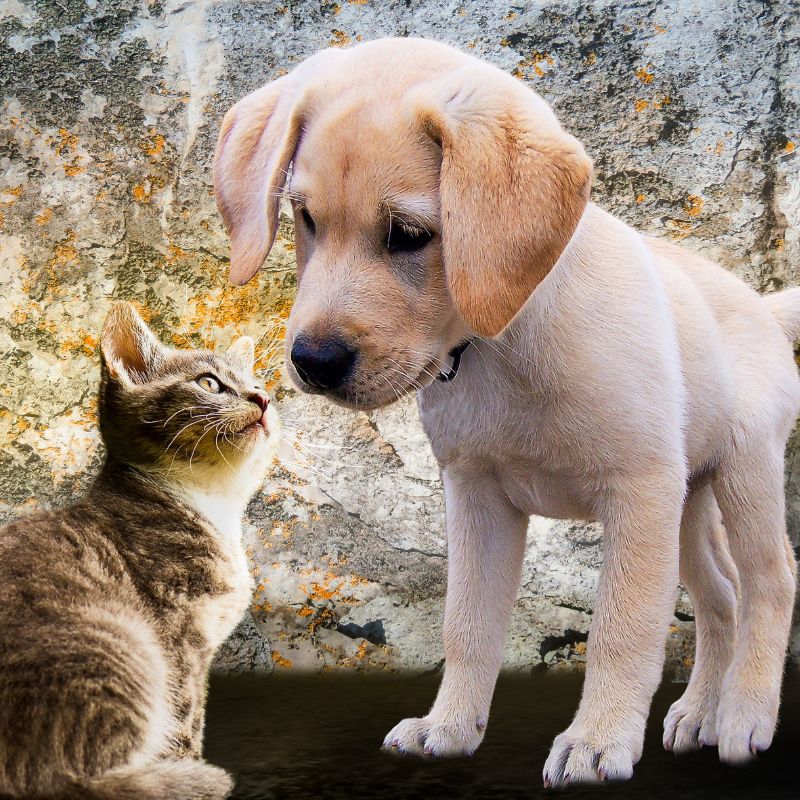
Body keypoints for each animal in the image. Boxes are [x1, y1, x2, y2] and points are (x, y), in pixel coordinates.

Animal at [0, 304, 280, 796]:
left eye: (259, 384)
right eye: (209, 383)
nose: (262, 398)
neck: (213, 507)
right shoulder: (179, 638)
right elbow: (185, 719)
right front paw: (187, 764)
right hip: (121, 646)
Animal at [212, 39, 800, 788]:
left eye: (409, 234)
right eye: (306, 219)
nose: (313, 361)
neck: (503, 345)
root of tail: (760, 304)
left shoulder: (638, 492)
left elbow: (622, 628)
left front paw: (598, 739)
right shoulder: (479, 496)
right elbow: (467, 625)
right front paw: (449, 727)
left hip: (744, 471)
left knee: (769, 582)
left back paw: (744, 716)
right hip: (689, 499)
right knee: (721, 596)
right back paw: (699, 711)